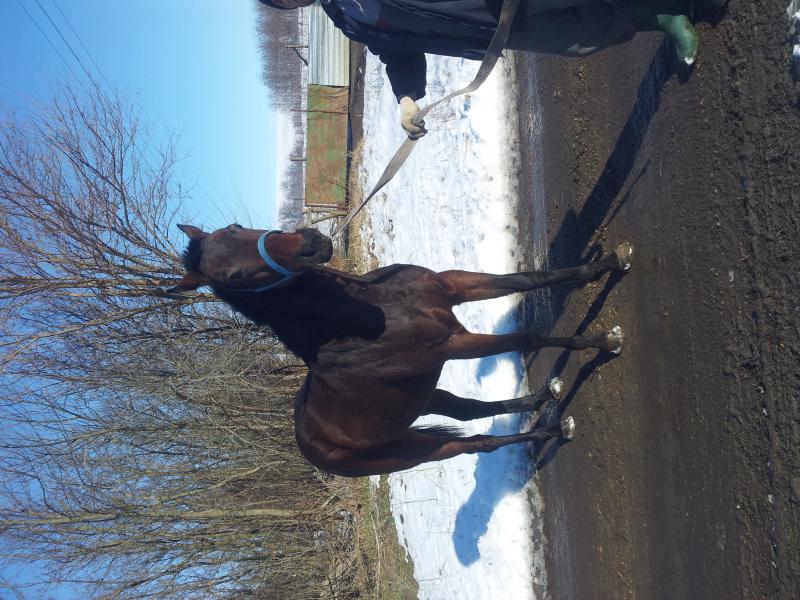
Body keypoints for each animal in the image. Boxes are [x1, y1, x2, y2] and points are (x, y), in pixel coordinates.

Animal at [170, 224, 632, 477]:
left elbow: (527, 279)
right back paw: (554, 430)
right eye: (235, 275)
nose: (311, 243)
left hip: (422, 396)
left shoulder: (454, 286)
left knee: (468, 411)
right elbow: (528, 338)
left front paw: (609, 262)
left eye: (235, 228)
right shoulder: (454, 344)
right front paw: (604, 342)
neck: (374, 312)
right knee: (477, 441)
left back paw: (541, 399)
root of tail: (311, 447)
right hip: (415, 450)